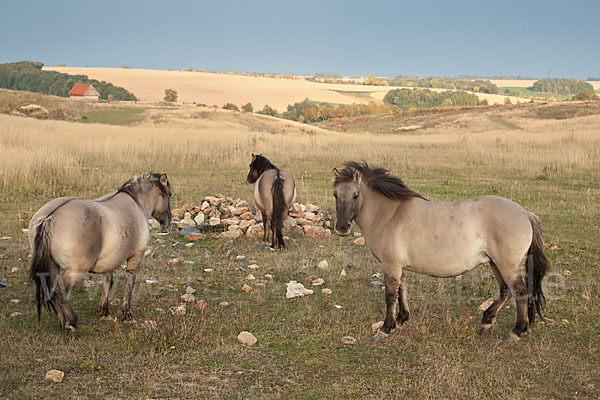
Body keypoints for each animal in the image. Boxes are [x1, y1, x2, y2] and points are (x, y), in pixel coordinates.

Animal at [29, 172, 172, 332]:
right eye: (169, 195)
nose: (168, 221)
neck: (137, 203)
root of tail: (49, 217)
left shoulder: (110, 261)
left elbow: (107, 282)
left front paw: (104, 312)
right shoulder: (136, 256)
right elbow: (129, 283)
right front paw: (127, 315)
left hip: (53, 267)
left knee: (54, 290)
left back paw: (62, 323)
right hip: (75, 271)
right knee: (59, 292)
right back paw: (71, 322)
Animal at [332, 161, 548, 342]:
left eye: (356, 195)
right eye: (335, 194)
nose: (342, 228)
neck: (390, 215)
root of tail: (525, 213)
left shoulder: (390, 265)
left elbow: (390, 295)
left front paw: (386, 328)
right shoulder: (400, 266)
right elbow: (402, 290)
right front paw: (401, 320)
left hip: (506, 264)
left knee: (519, 291)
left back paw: (516, 331)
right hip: (495, 263)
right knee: (505, 290)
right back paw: (487, 321)